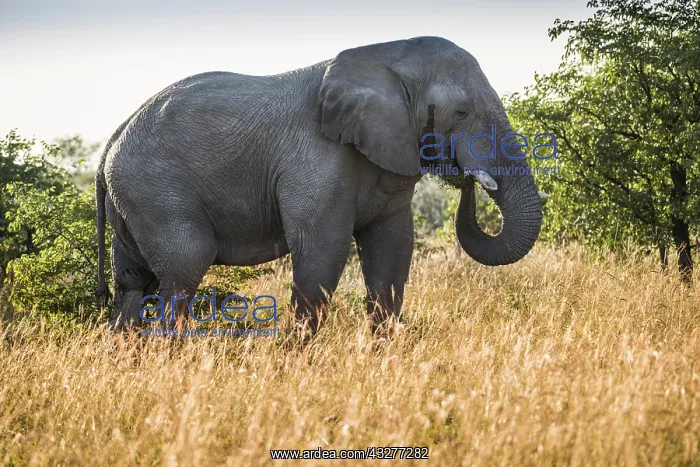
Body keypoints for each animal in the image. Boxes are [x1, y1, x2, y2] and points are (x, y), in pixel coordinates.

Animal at [94, 36, 546, 334]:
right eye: (461, 111)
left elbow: (392, 252)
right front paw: (292, 364)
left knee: (133, 283)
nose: (466, 177)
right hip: (156, 191)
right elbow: (323, 249)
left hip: (134, 198)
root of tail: (110, 144)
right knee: (183, 269)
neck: (385, 57)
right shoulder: (316, 155)